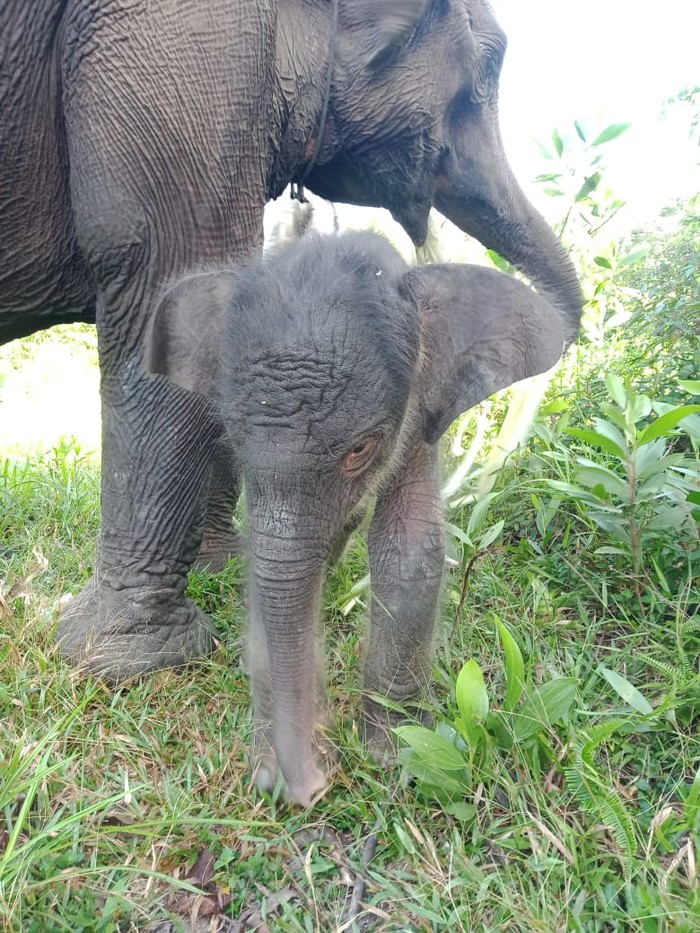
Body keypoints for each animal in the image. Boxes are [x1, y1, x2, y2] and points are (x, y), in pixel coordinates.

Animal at [145, 230, 567, 804]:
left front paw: (397, 755)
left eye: (361, 448)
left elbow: (410, 548)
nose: (311, 788)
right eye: (230, 436)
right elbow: (266, 566)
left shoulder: (421, 413)